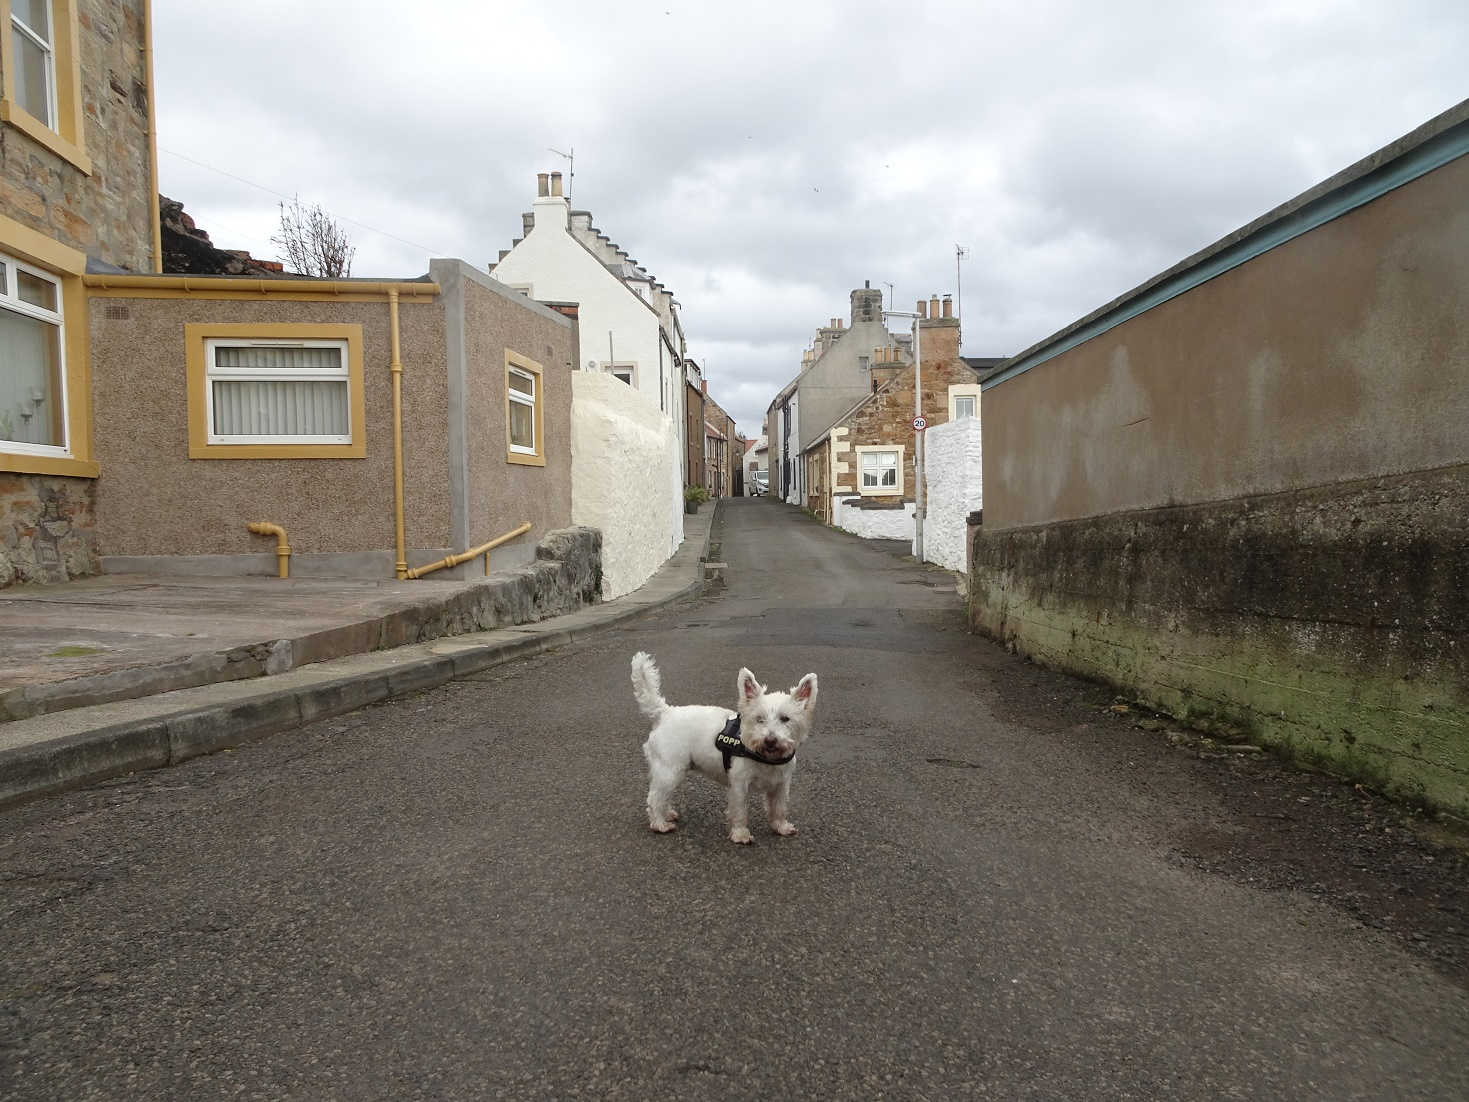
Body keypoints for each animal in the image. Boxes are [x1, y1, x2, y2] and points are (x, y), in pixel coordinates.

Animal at [628, 652, 822, 852]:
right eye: (759, 719)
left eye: (785, 719)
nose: (770, 740)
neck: (765, 757)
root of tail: (665, 712)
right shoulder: (739, 783)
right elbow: (740, 811)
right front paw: (741, 835)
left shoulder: (781, 784)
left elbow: (779, 807)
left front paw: (781, 827)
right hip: (670, 770)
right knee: (655, 797)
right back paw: (660, 824)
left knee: (662, 795)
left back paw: (667, 814)